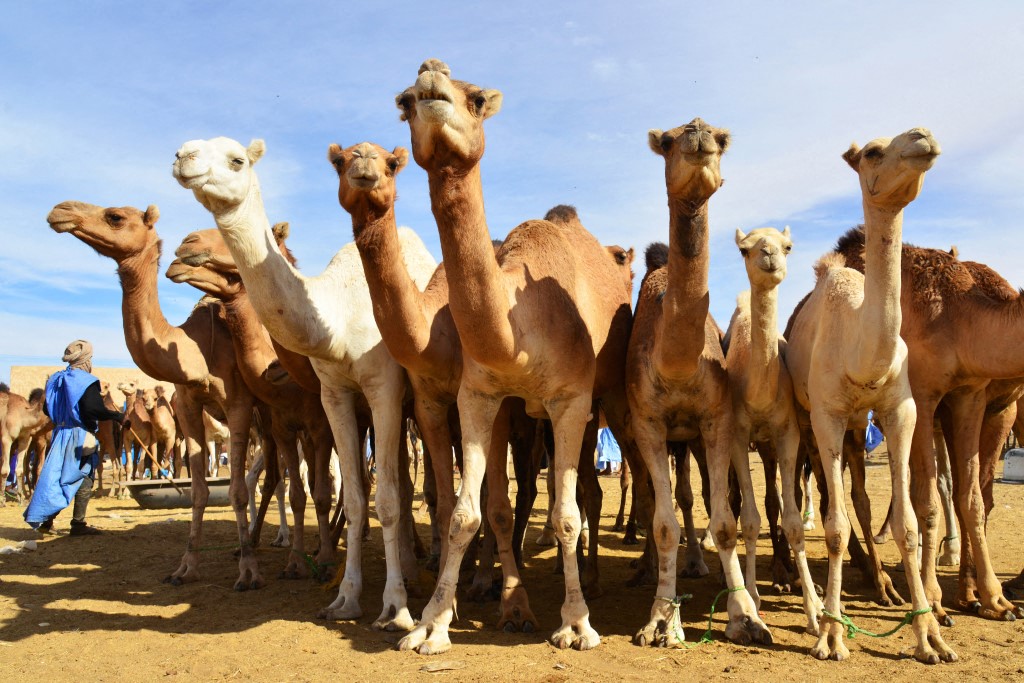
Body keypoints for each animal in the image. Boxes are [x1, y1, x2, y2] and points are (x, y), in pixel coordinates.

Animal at [47, 201, 263, 590]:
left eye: (115, 216)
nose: (61, 210)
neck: (198, 349)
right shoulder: (190, 408)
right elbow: (198, 490)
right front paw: (185, 568)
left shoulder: (238, 404)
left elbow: (236, 490)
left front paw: (249, 573)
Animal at [167, 226, 340, 579]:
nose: (185, 246)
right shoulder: (282, 426)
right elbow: (299, 492)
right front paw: (296, 562)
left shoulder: (319, 426)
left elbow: (320, 492)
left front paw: (326, 560)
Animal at [393, 58, 637, 654]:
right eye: (404, 103)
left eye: (477, 99)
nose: (431, 73)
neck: (518, 331)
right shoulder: (479, 395)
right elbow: (464, 512)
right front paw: (432, 624)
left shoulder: (571, 400)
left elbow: (567, 515)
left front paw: (576, 623)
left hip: (606, 400)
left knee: (593, 489)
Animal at [624, 117, 769, 648]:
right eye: (666, 141)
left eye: (722, 139)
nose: (698, 130)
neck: (678, 364)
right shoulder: (647, 423)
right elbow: (664, 523)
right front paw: (661, 621)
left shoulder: (717, 419)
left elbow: (724, 521)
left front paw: (746, 617)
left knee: (704, 499)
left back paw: (699, 565)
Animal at [784, 127, 954, 663]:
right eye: (874, 152)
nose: (924, 137)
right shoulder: (827, 415)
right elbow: (835, 528)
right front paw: (831, 635)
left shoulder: (900, 410)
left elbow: (909, 525)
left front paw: (930, 635)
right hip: (808, 421)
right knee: (821, 494)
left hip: (861, 427)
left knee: (858, 495)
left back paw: (883, 587)